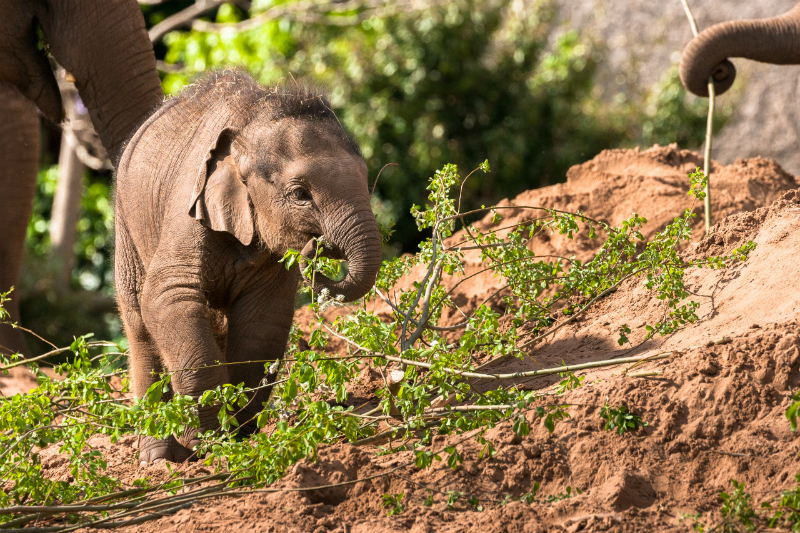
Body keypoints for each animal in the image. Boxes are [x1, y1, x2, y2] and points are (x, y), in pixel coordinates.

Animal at [113, 70, 384, 462]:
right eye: (300, 194)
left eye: (365, 177)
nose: (315, 245)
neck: (255, 120)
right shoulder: (187, 208)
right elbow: (167, 298)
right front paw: (208, 439)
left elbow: (262, 321)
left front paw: (236, 431)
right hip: (126, 227)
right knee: (139, 325)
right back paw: (158, 458)